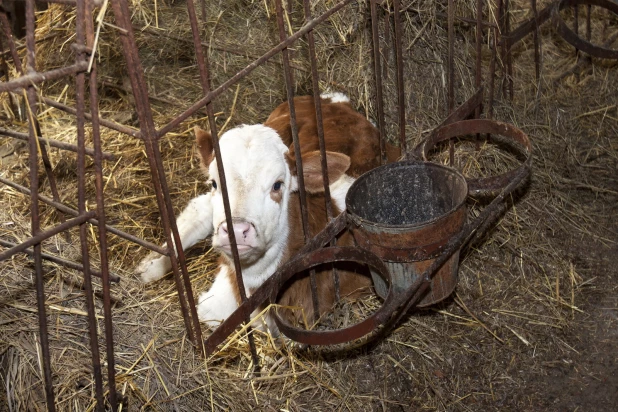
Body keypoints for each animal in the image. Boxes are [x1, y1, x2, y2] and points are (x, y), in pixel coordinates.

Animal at [135, 93, 398, 332]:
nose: (236, 230)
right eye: (214, 182)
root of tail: (335, 99)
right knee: (200, 209)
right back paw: (153, 265)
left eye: (277, 185)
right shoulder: (213, 305)